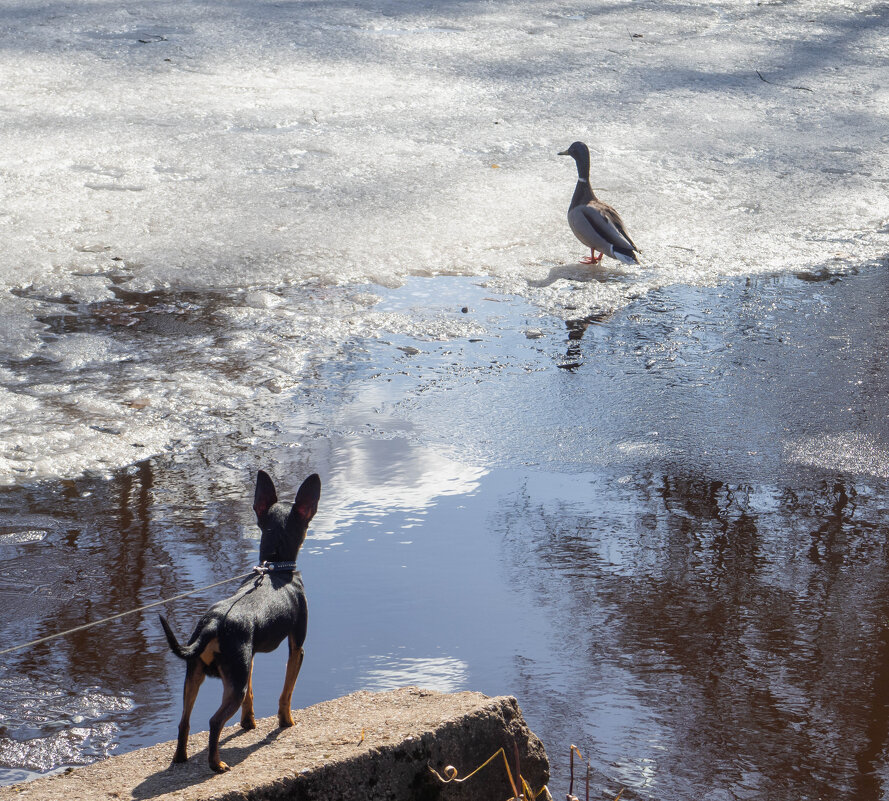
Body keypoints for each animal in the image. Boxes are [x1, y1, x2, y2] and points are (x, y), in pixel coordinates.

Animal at [160, 468, 320, 768]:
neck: (275, 568)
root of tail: (213, 624)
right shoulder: (297, 648)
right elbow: (286, 692)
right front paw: (287, 722)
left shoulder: (250, 659)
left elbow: (253, 697)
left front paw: (249, 723)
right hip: (234, 684)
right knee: (214, 722)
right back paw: (217, 765)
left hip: (199, 676)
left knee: (184, 722)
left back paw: (180, 758)